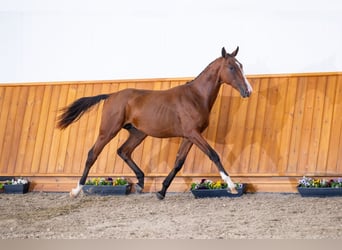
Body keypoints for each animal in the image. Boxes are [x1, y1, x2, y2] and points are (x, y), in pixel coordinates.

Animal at [57, 46, 252, 199]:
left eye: (241, 66)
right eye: (231, 67)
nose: (248, 91)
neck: (196, 97)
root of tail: (110, 96)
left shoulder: (189, 136)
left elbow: (178, 162)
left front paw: (162, 191)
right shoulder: (193, 134)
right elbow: (214, 155)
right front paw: (232, 187)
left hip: (138, 133)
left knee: (123, 151)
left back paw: (140, 183)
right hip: (108, 131)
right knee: (93, 154)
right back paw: (76, 191)